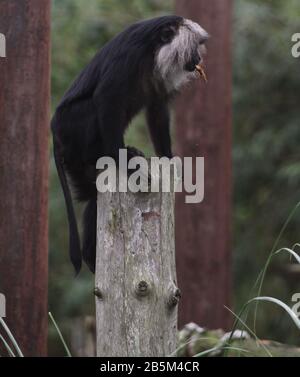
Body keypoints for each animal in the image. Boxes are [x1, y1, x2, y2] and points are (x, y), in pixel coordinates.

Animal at [51, 15, 209, 274]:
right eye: (194, 48)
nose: (198, 59)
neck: (152, 52)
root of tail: (54, 129)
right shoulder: (128, 57)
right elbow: (107, 98)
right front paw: (122, 159)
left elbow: (157, 109)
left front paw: (167, 159)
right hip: (72, 128)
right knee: (93, 109)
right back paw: (112, 154)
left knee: (93, 194)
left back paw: (90, 255)